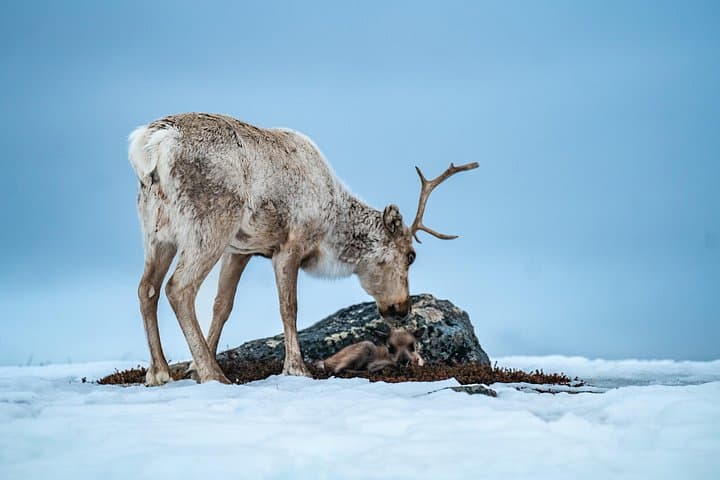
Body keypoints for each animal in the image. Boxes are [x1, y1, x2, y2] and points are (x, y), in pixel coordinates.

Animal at [128, 112, 477, 386]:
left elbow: (222, 305)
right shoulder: (289, 246)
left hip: (157, 232)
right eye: (410, 256)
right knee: (179, 288)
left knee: (147, 288)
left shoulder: (240, 249)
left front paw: (192, 368)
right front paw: (296, 368)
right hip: (208, 224)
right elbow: (289, 307)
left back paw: (159, 373)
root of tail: (153, 143)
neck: (332, 222)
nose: (402, 308)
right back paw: (214, 374)